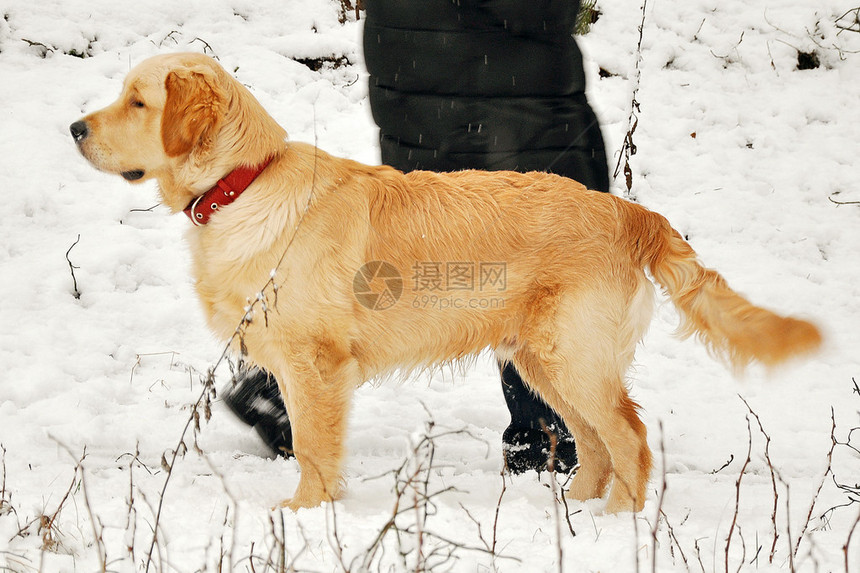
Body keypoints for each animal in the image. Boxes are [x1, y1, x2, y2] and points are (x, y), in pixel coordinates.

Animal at [70, 52, 824, 510]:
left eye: (137, 102)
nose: (75, 126)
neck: (244, 182)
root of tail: (631, 210)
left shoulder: (315, 362)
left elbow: (313, 446)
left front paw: (305, 512)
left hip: (570, 354)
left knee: (631, 439)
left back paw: (619, 525)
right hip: (542, 358)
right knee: (596, 443)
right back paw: (578, 509)